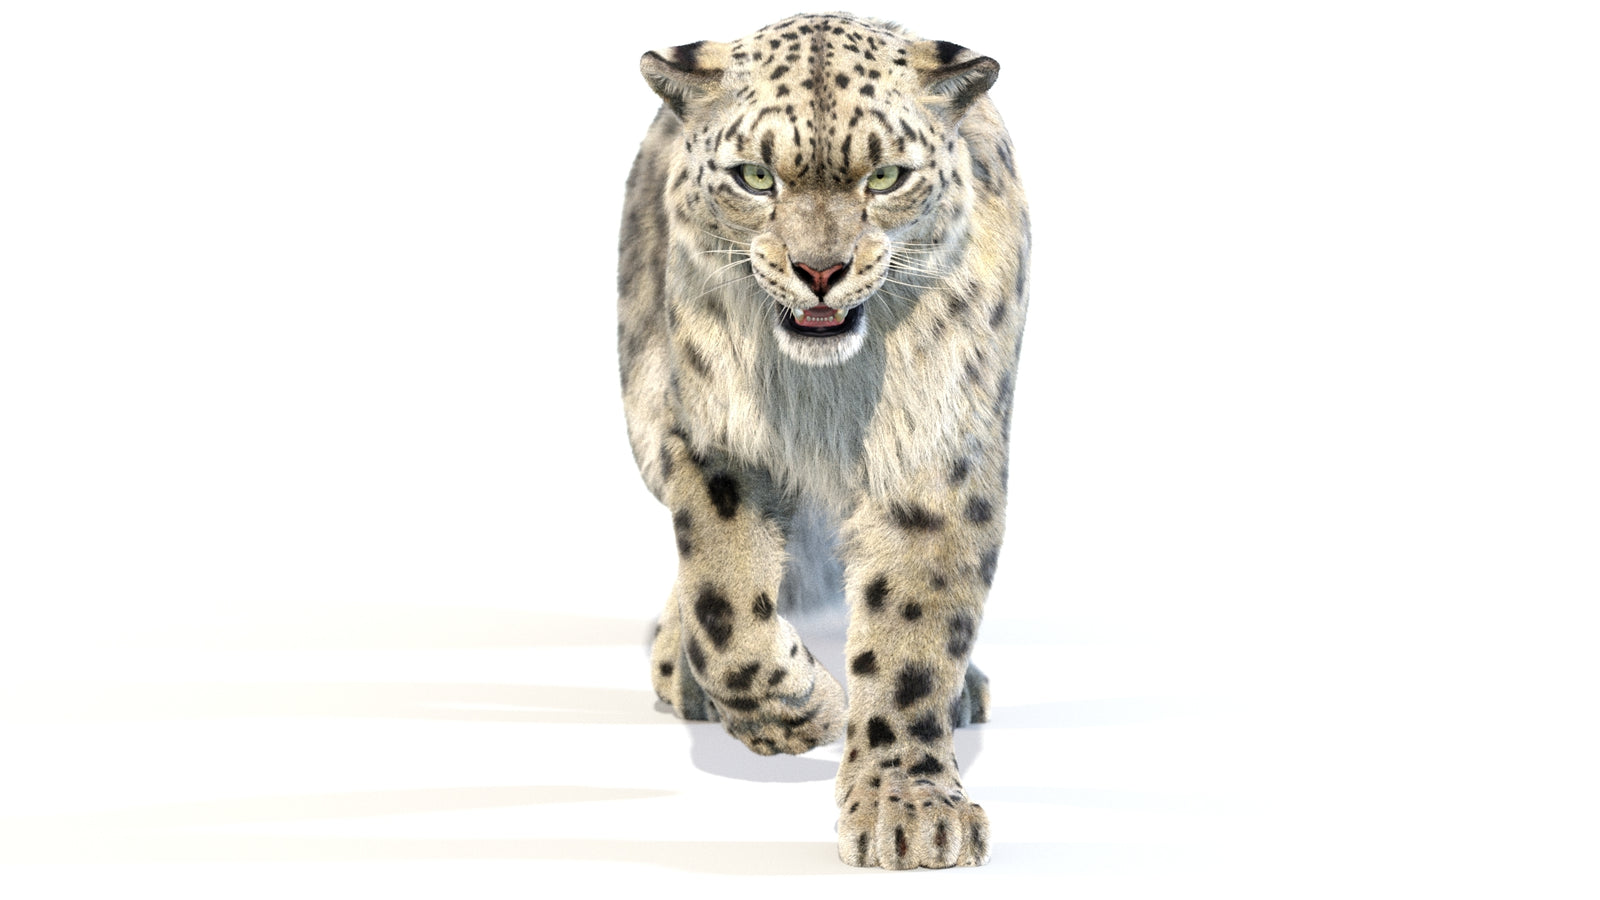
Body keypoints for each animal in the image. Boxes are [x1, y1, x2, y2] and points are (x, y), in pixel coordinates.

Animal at [616, 12, 1028, 869]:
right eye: (754, 177)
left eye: (885, 177)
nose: (819, 270)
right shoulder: (710, 440)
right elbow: (725, 603)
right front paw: (802, 711)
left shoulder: (934, 455)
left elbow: (911, 630)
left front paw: (909, 809)